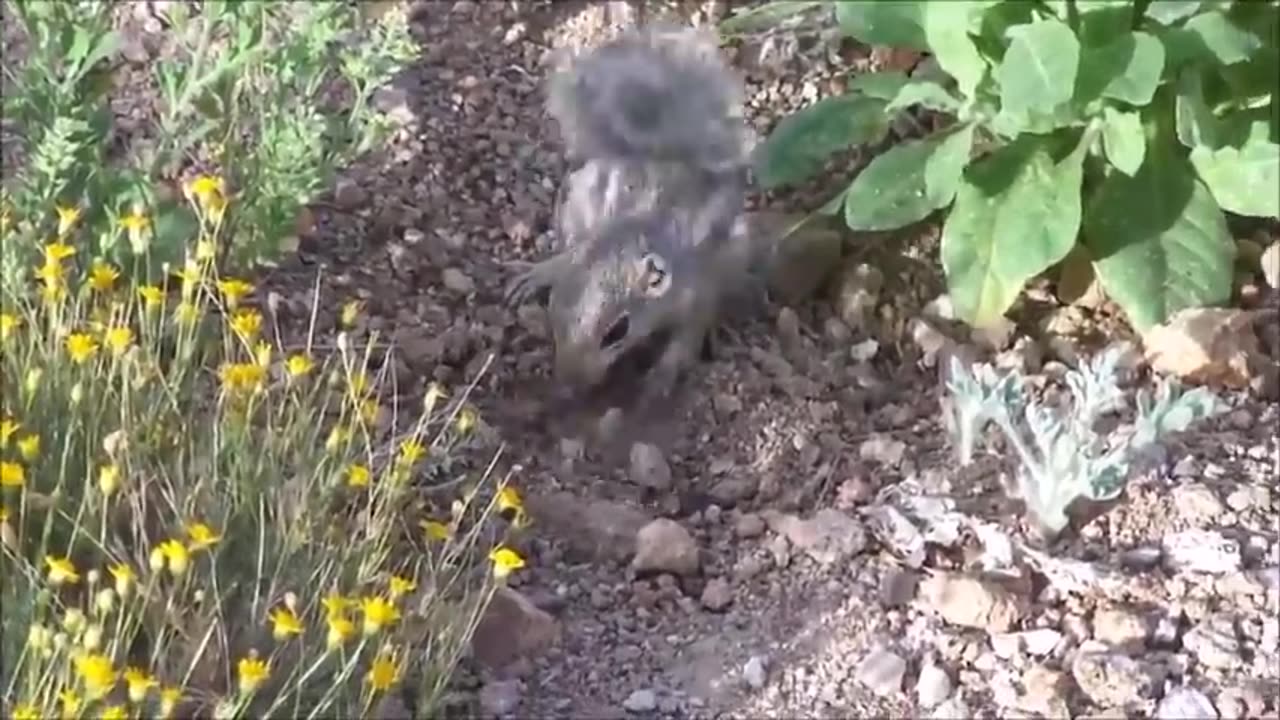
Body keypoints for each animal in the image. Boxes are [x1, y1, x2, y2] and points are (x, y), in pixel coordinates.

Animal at [501, 22, 757, 412]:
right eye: (554, 311)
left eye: (617, 332)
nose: (569, 386)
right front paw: (537, 275)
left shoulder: (698, 289)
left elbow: (689, 333)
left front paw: (661, 378)